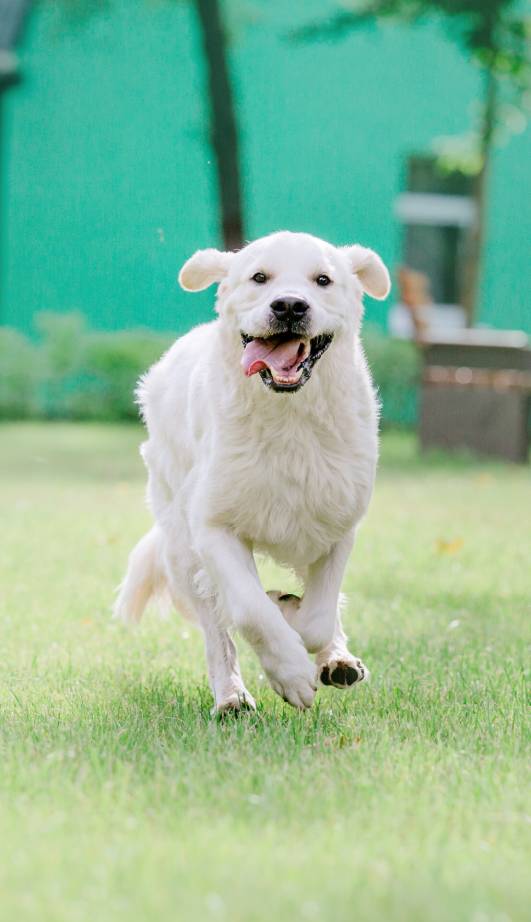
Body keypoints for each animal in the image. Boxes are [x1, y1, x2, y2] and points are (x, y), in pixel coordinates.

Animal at [114, 228, 390, 712]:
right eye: (259, 277)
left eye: (323, 280)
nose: (290, 305)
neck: (289, 417)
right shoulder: (212, 527)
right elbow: (248, 609)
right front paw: (290, 671)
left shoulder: (338, 524)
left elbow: (319, 615)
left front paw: (298, 618)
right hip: (180, 543)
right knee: (216, 626)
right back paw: (231, 696)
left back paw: (336, 658)